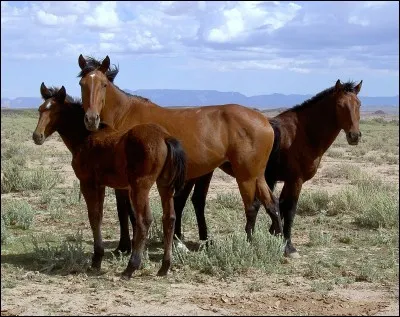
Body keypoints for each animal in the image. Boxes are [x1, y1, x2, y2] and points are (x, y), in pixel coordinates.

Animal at [32, 82, 187, 276]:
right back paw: (164, 267)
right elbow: (98, 215)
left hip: (140, 186)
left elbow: (93, 216)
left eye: (56, 112)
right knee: (169, 218)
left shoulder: (87, 183)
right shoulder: (101, 185)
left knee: (144, 220)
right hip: (164, 185)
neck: (86, 137)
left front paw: (96, 259)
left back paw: (131, 267)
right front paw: (98, 258)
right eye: (40, 110)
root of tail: (165, 137)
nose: (37, 136)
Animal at [77, 54, 284, 248]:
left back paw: (250, 242)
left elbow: (127, 212)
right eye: (82, 84)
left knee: (252, 207)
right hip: (256, 174)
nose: (91, 119)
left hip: (245, 175)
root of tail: (265, 120)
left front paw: (125, 247)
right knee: (271, 203)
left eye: (104, 84)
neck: (126, 116)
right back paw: (284, 243)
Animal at [171, 78, 362, 256]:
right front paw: (288, 245)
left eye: (359, 104)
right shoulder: (295, 180)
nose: (354, 136)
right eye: (340, 105)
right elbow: (289, 209)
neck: (302, 133)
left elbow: (280, 206)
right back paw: (179, 241)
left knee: (196, 200)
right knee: (181, 200)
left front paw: (275, 235)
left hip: (205, 172)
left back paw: (200, 240)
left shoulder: (285, 181)